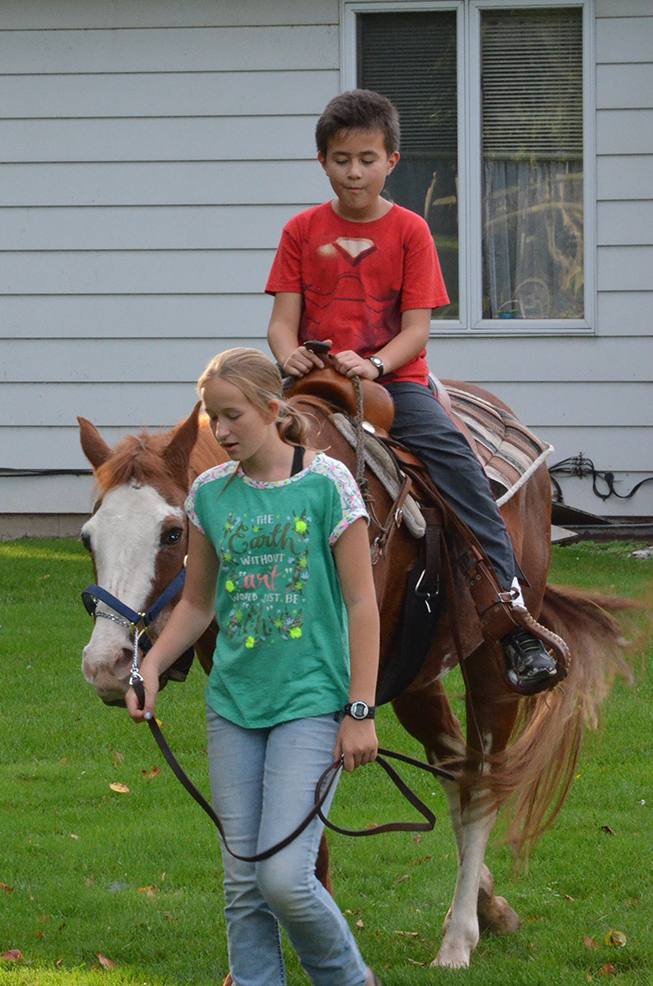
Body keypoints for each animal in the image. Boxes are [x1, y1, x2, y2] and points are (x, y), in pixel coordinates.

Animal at [76, 376, 628, 968]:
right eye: (88, 537)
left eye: (174, 534)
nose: (105, 665)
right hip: (418, 679)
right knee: (454, 769)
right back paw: (488, 903)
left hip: (491, 670)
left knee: (481, 783)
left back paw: (460, 935)